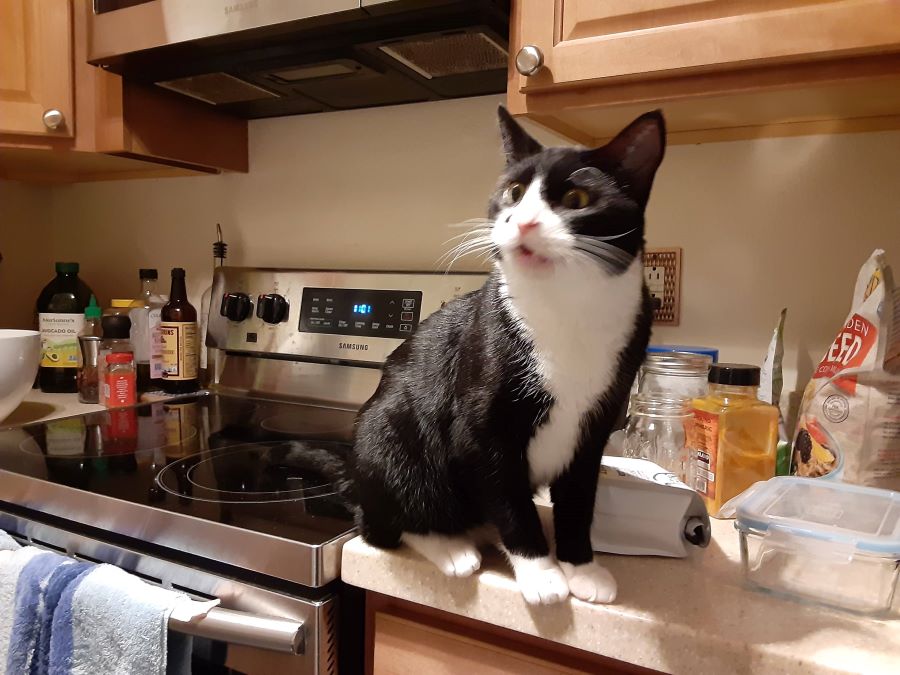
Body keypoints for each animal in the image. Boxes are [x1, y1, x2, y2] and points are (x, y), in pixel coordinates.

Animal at [324, 111, 660, 608]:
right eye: (514, 193)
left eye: (576, 199)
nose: (523, 223)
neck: (567, 308)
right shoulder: (481, 426)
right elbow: (510, 498)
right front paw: (541, 572)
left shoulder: (596, 427)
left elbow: (579, 497)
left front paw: (581, 566)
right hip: (388, 432)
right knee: (387, 522)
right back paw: (451, 548)